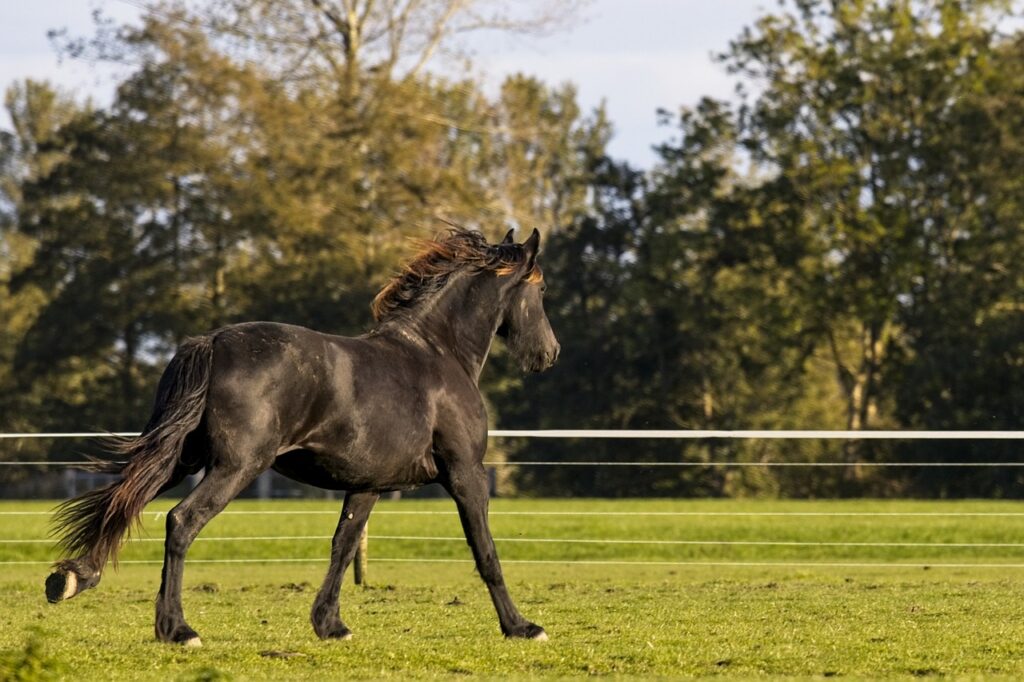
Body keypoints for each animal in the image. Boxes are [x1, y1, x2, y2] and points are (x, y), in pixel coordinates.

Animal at [45, 227, 559, 647]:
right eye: (541, 290)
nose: (549, 353)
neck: (438, 355)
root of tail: (212, 342)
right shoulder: (465, 474)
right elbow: (486, 552)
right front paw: (521, 627)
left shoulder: (368, 485)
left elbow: (343, 546)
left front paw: (330, 625)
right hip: (236, 466)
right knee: (181, 521)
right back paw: (178, 629)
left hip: (179, 459)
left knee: (123, 501)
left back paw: (71, 579)